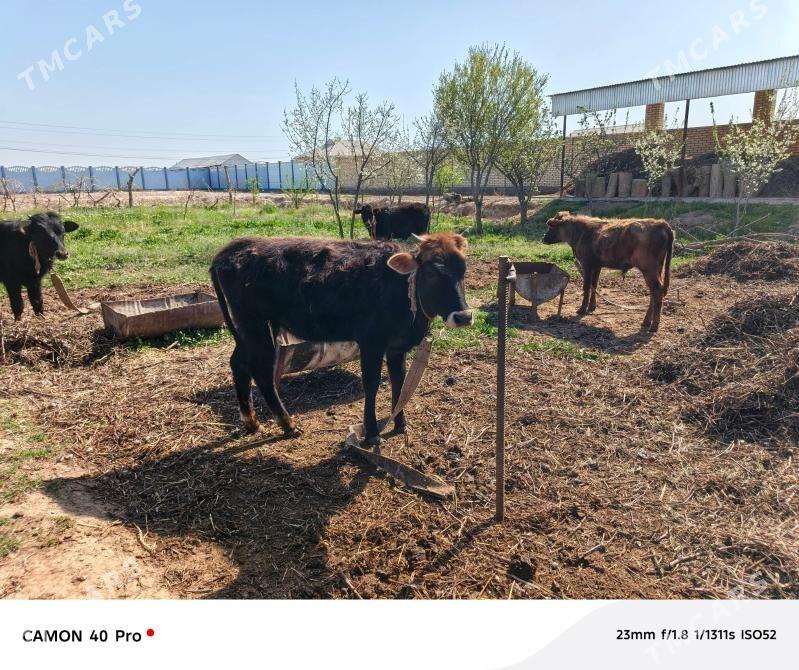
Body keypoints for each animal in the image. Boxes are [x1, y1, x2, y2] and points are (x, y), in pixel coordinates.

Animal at [210, 232, 472, 444]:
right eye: (431, 272)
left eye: (463, 270)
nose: (463, 316)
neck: (400, 287)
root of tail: (231, 250)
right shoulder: (371, 342)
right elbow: (372, 384)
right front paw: (372, 432)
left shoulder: (397, 347)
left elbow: (400, 382)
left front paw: (399, 423)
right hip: (255, 326)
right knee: (261, 371)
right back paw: (288, 425)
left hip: (250, 331)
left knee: (239, 364)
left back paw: (251, 422)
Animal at [542, 211, 673, 332]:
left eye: (551, 227)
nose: (543, 238)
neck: (581, 233)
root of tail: (659, 223)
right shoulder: (597, 266)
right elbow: (594, 285)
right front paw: (592, 307)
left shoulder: (587, 264)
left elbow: (586, 286)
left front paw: (582, 309)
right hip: (658, 268)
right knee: (654, 293)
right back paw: (646, 322)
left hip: (648, 269)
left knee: (657, 291)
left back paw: (653, 325)